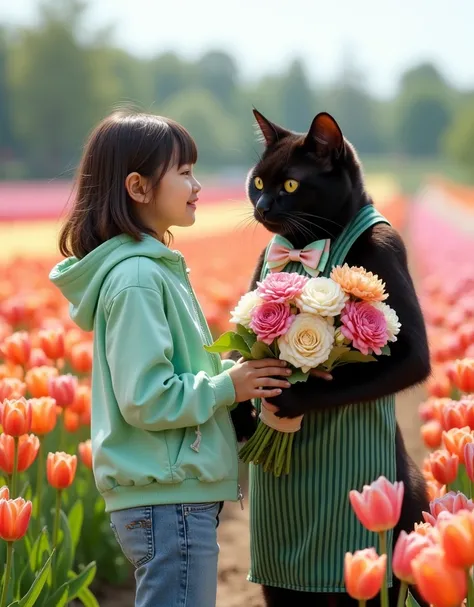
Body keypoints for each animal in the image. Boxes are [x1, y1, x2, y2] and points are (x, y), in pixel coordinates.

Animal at [231, 109, 432, 607]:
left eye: (289, 185)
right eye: (258, 181)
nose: (263, 207)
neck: (310, 243)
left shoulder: (389, 257)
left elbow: (406, 361)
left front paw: (286, 401)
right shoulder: (262, 263)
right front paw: (245, 412)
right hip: (278, 587)